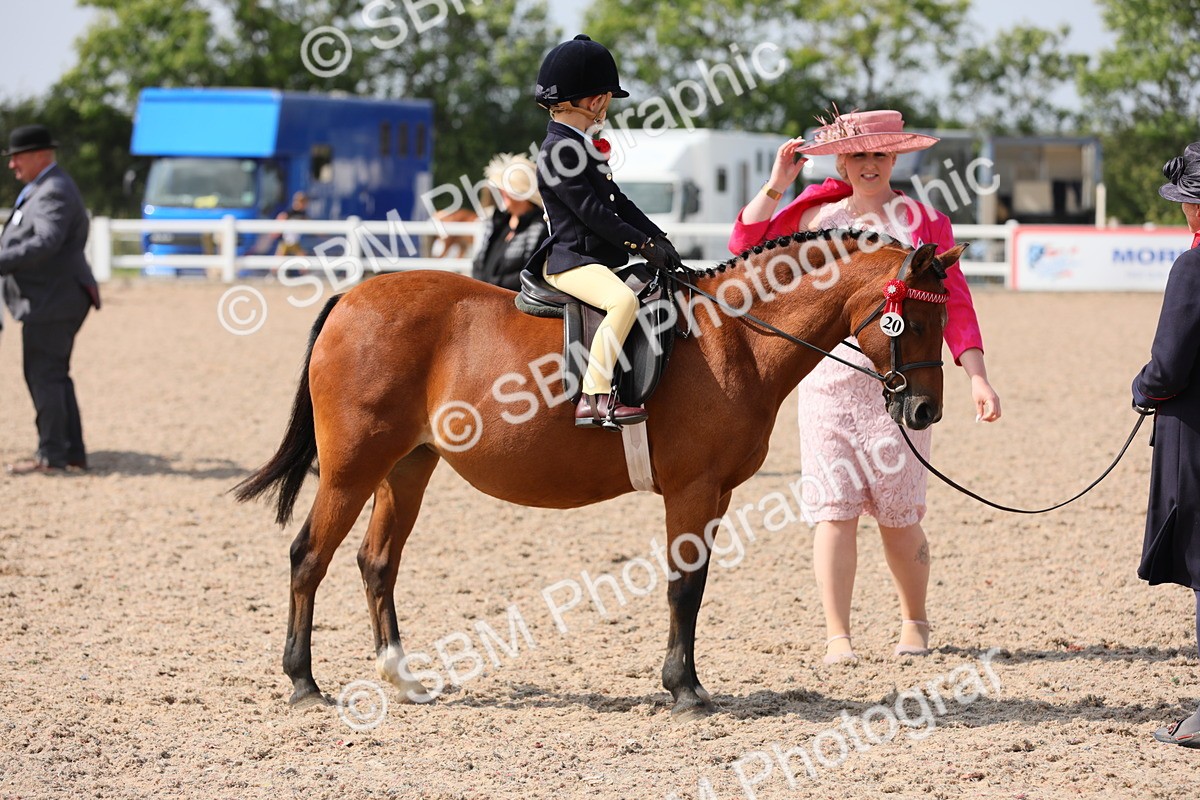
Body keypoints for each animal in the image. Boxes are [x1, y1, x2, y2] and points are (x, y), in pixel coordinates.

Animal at [235, 229, 966, 720]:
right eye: (913, 318)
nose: (925, 410)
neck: (732, 337)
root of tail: (351, 297)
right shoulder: (694, 490)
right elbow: (683, 588)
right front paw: (685, 689)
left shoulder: (717, 494)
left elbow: (693, 587)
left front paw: (684, 681)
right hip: (352, 469)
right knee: (309, 557)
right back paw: (304, 684)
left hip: (407, 468)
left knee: (377, 561)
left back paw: (402, 678)